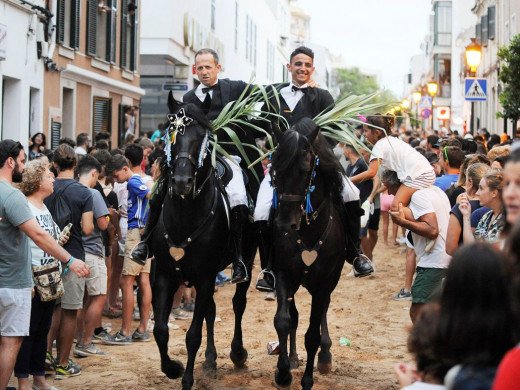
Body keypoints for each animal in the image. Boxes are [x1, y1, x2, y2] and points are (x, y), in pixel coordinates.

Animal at [150, 95, 256, 390]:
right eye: (171, 133)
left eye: (203, 138)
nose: (182, 182)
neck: (185, 216)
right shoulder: (163, 275)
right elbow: (160, 330)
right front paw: (172, 368)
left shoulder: (206, 277)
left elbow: (192, 335)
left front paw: (186, 379)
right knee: (211, 309)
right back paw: (210, 360)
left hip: (247, 258)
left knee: (238, 303)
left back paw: (237, 352)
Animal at [270, 117, 348, 388]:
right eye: (274, 171)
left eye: (305, 171)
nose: (284, 223)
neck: (308, 229)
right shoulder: (283, 274)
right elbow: (283, 321)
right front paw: (283, 372)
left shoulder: (324, 282)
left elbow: (312, 333)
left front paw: (307, 379)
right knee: (293, 317)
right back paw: (293, 359)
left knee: (322, 311)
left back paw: (325, 356)